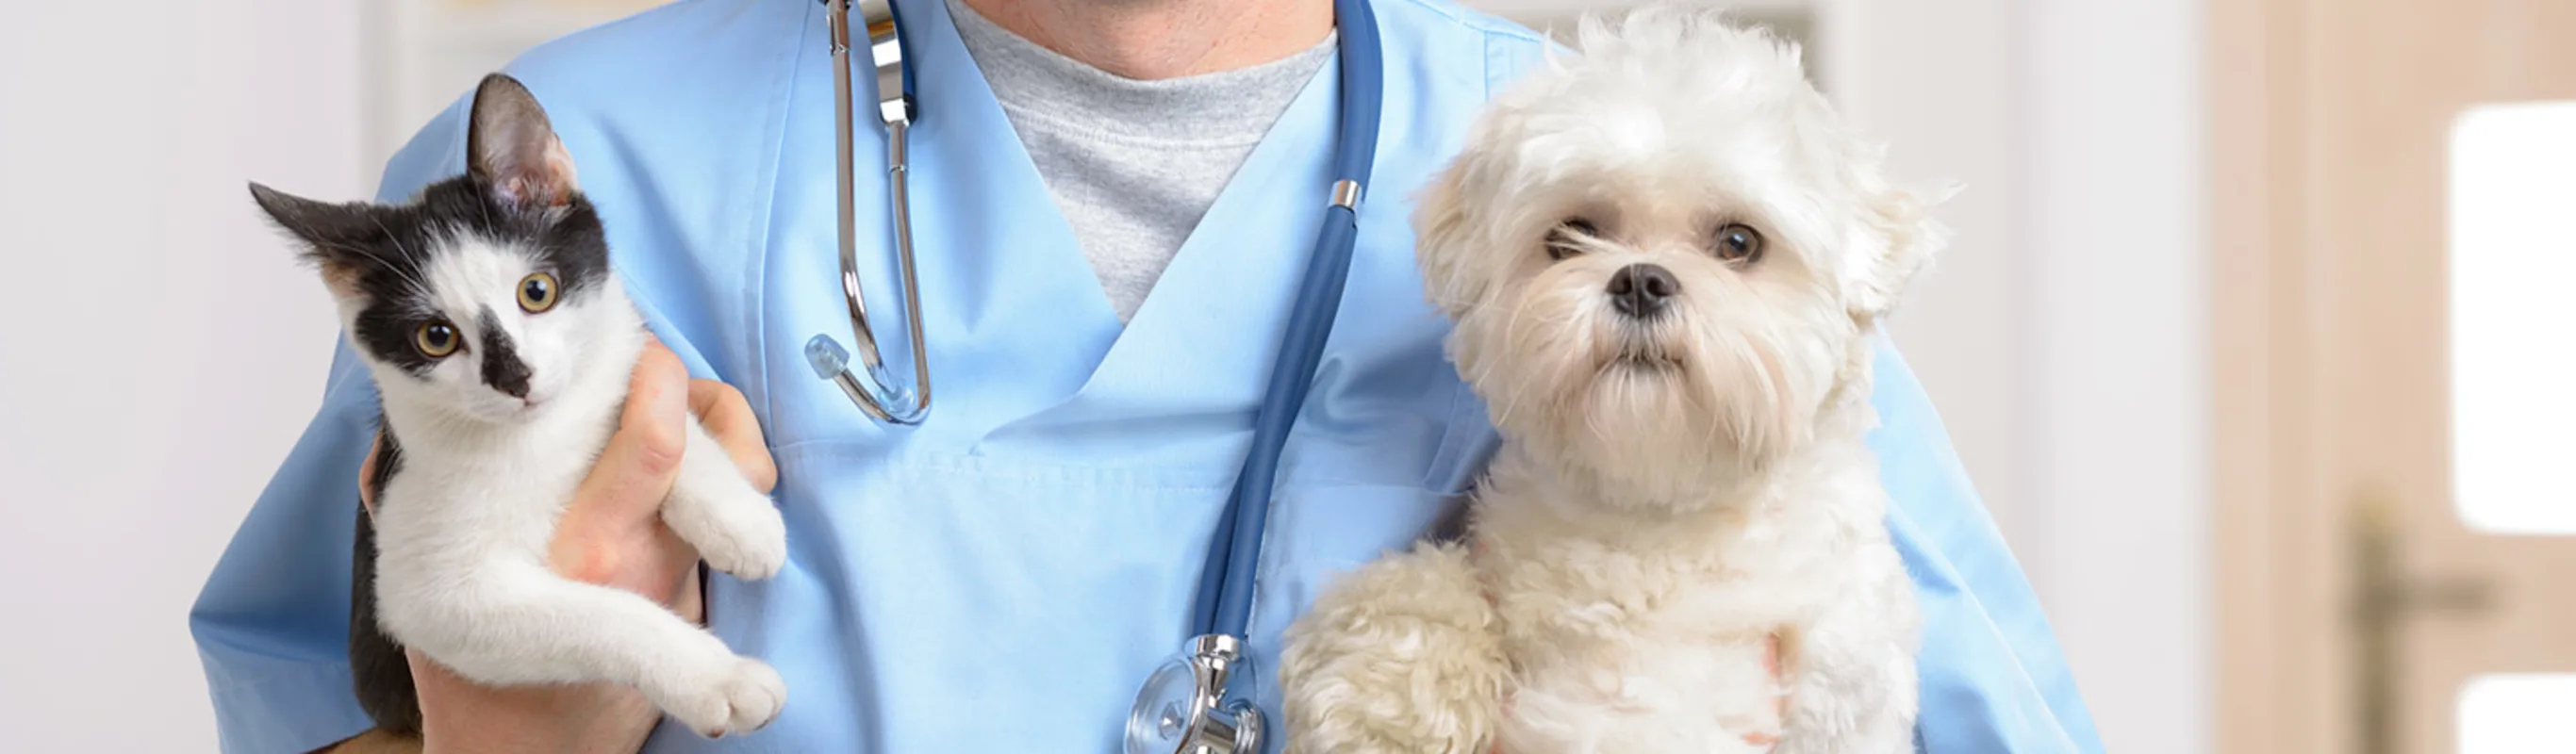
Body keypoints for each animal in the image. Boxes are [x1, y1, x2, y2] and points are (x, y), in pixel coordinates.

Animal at [258, 72, 793, 735]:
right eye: (436, 337)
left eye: (536, 291)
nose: (516, 378)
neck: (544, 431)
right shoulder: (428, 591)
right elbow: (598, 615)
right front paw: (716, 678)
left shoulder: (618, 359)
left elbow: (661, 413)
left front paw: (737, 517)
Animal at [1278, 11, 1937, 751]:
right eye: (1571, 234)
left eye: (1739, 242)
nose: (1641, 281)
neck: (1651, 518)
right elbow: (1416, 593)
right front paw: (1382, 700)